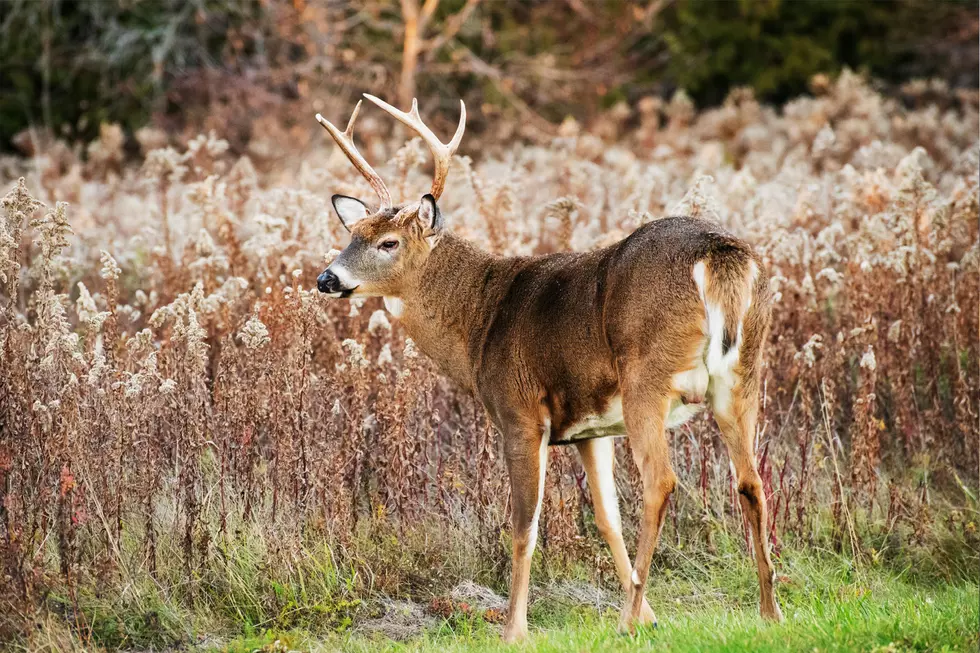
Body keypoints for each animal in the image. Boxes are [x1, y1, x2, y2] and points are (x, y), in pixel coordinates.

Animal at [314, 95, 783, 642]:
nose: (327, 279)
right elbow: (605, 518)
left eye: (388, 242)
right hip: (743, 373)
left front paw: (514, 629)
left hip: (648, 375)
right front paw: (650, 615)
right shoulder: (590, 428)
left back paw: (627, 621)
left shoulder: (519, 411)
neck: (480, 322)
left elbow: (523, 526)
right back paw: (768, 612)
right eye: (352, 233)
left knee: (661, 482)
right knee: (751, 481)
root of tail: (719, 254)